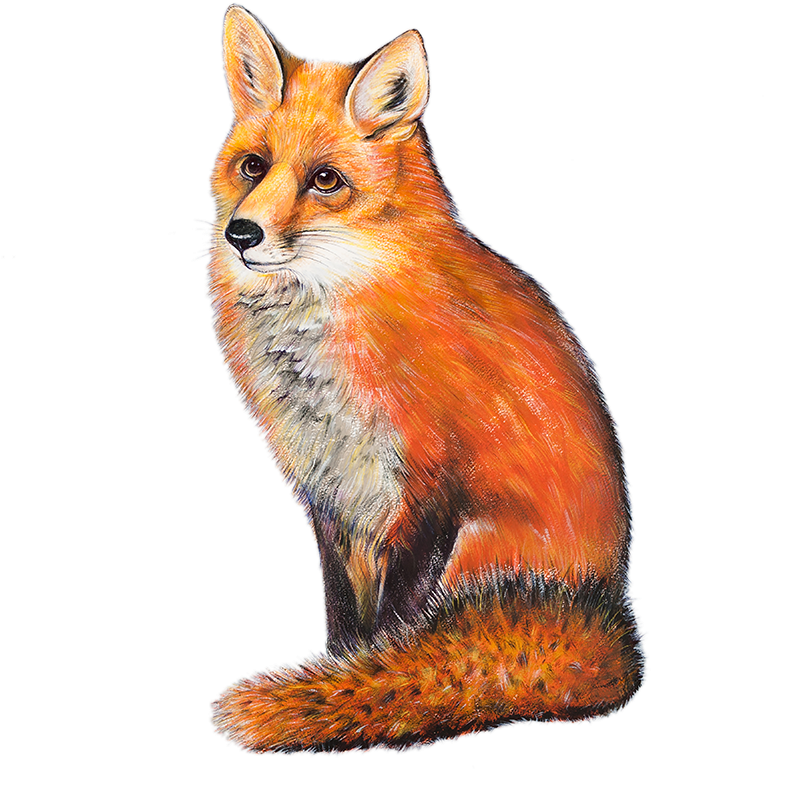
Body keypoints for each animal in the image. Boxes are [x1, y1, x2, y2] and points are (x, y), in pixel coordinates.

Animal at [201, 3, 647, 754]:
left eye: (325, 180)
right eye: (252, 167)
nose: (241, 233)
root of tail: (607, 621)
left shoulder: (427, 488)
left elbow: (395, 629)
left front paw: (362, 685)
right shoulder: (327, 492)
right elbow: (346, 621)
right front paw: (340, 672)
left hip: (480, 546)